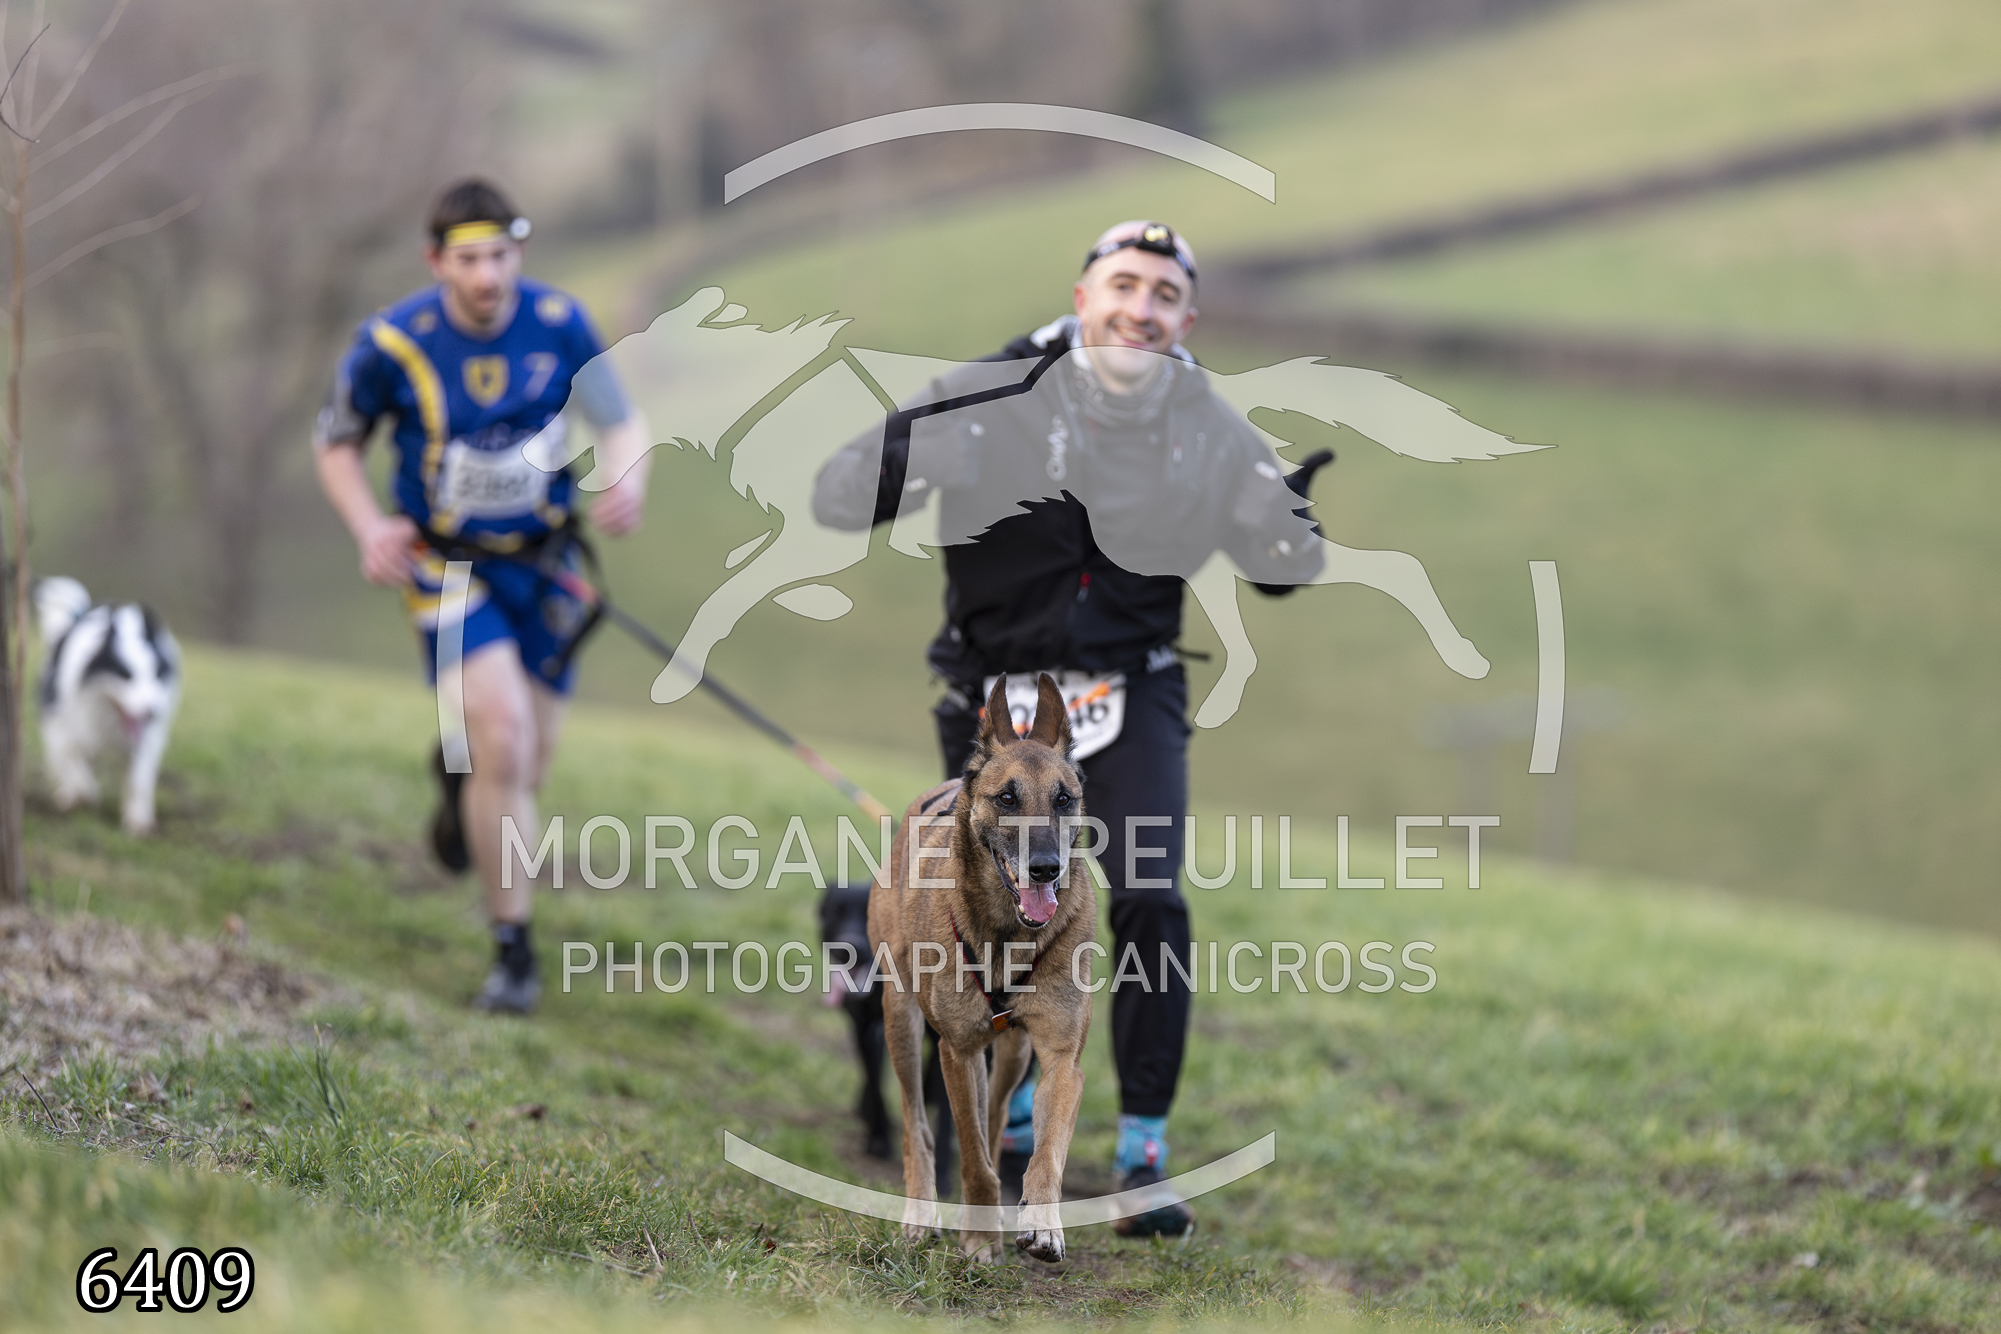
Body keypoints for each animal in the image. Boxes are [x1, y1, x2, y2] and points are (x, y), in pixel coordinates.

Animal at [34, 577, 180, 835]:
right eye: (126, 676)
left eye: (156, 674)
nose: (152, 713)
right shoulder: (61, 724)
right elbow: (76, 769)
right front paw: (83, 795)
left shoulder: (145, 741)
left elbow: (137, 781)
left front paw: (138, 822)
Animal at [818, 881, 958, 1191]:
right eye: (836, 912)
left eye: (866, 914)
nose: (849, 947)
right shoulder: (864, 1028)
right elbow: (875, 1084)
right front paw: (878, 1139)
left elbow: (946, 1114)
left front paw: (943, 1174)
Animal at [872, 672, 1096, 1263]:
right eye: (1007, 798)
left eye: (1064, 799)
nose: (1046, 868)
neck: (1008, 932)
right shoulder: (959, 1051)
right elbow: (971, 1155)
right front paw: (976, 1238)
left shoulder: (1061, 1059)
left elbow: (1044, 1152)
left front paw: (1041, 1223)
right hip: (900, 1021)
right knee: (917, 1128)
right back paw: (921, 1215)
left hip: (1014, 1054)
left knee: (996, 1123)